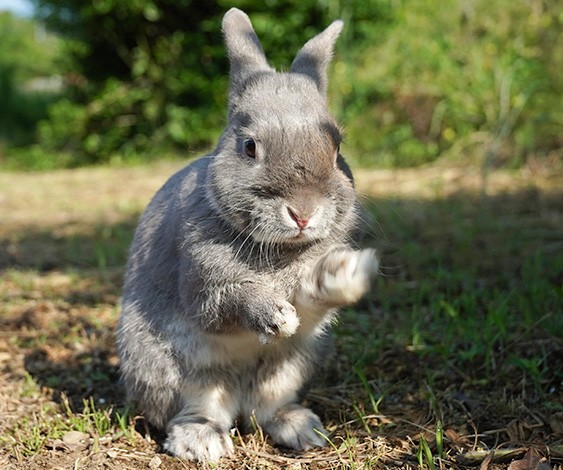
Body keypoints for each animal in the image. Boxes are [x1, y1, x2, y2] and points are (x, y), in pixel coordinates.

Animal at [117, 7, 378, 462]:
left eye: (336, 147)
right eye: (250, 147)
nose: (303, 212)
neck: (279, 248)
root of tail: (237, 396)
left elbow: (312, 299)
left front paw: (344, 274)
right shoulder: (203, 285)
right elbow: (229, 303)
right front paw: (275, 315)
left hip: (290, 368)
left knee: (266, 410)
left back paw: (302, 429)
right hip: (169, 370)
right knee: (193, 411)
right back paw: (203, 441)